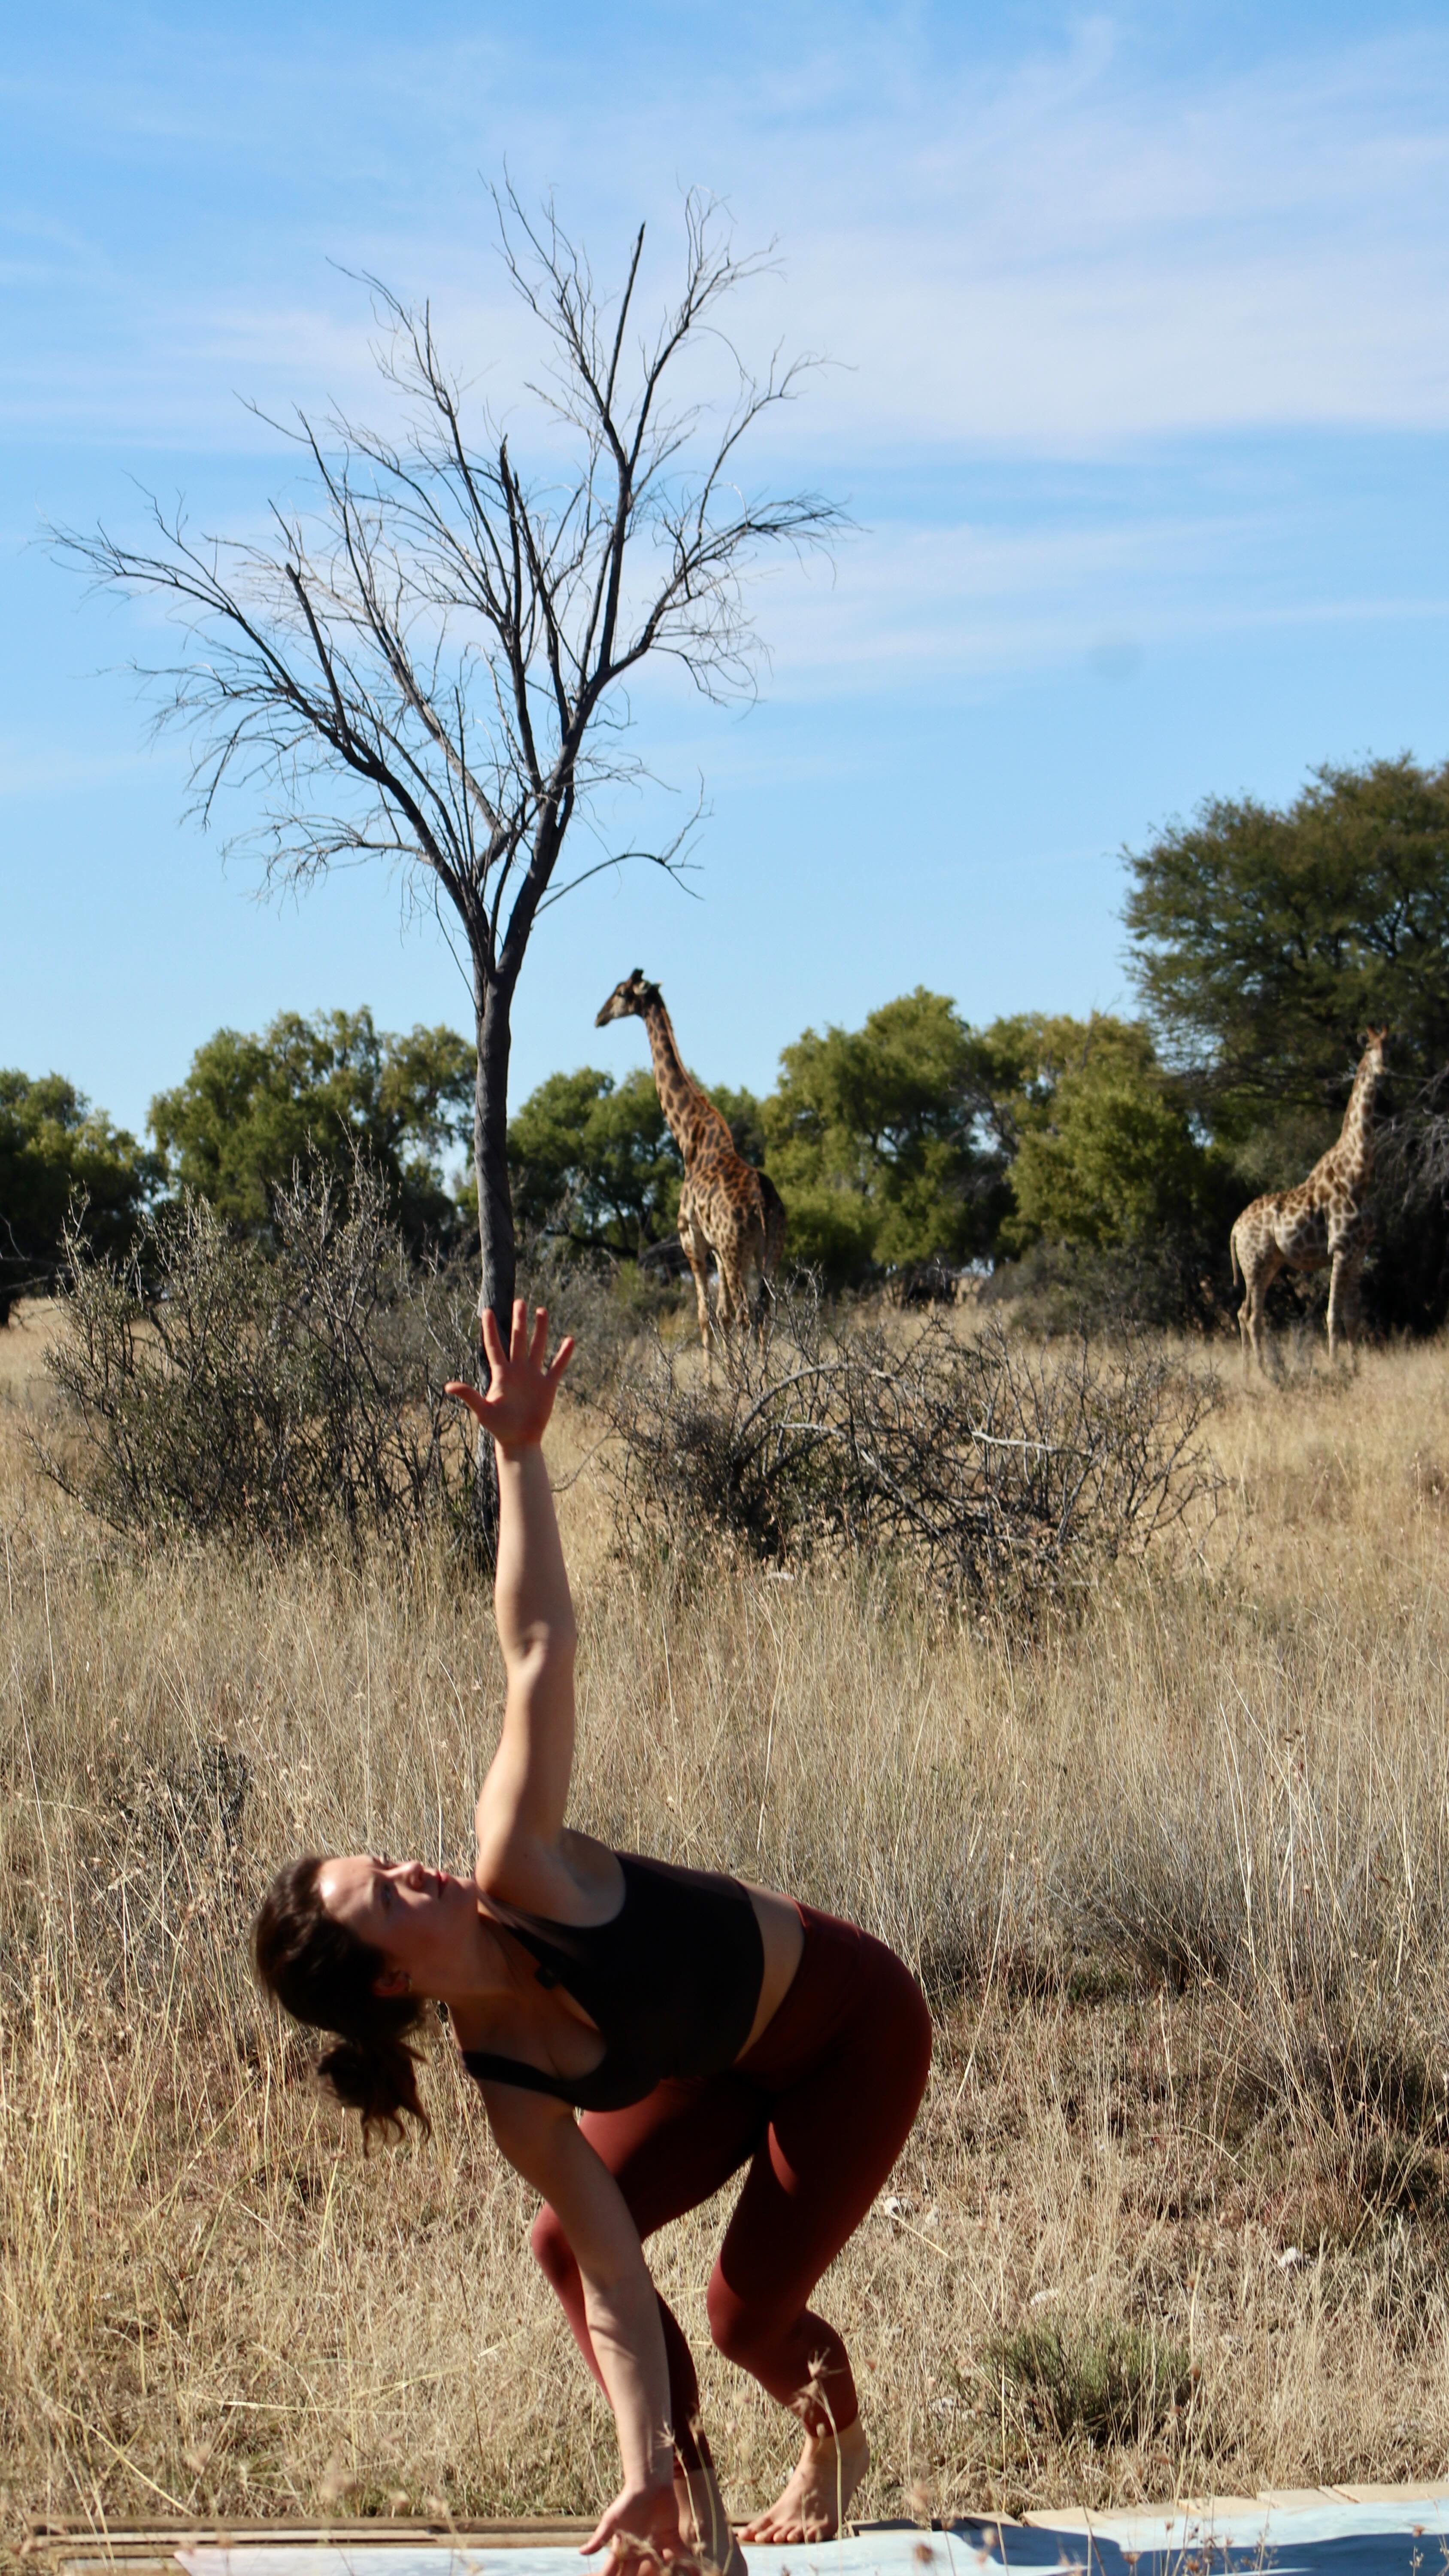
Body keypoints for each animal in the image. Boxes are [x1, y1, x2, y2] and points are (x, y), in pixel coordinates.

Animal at [595, 969, 786, 1359]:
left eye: (621, 993)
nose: (599, 1017)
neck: (690, 1138)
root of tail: (763, 1205)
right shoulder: (714, 1250)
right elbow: (722, 1315)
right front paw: (730, 1371)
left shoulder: (692, 1242)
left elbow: (705, 1315)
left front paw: (718, 1375)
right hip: (769, 1249)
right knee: (763, 1310)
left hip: (736, 1250)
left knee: (747, 1313)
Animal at [1230, 1027, 1388, 1372]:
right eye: (1370, 1048)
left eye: (1389, 1047)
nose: (1384, 1069)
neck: (1358, 1176)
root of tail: (1235, 1229)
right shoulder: (1340, 1249)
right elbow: (1332, 1315)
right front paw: (1336, 1366)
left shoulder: (1358, 1253)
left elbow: (1353, 1317)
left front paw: (1355, 1367)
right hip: (1256, 1262)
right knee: (1253, 1316)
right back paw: (1264, 1371)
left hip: (1269, 1263)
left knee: (1242, 1312)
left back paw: (1248, 1371)